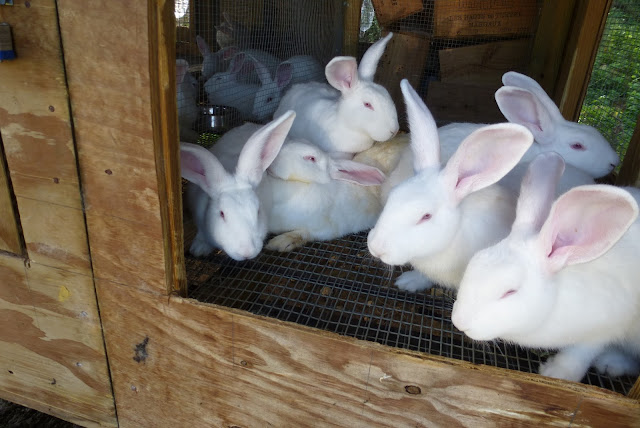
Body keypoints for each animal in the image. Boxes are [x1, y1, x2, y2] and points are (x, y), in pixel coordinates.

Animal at [451, 161, 640, 382]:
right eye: (473, 263)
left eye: (510, 292)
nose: (458, 321)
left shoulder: (604, 328)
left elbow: (580, 353)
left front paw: (557, 373)